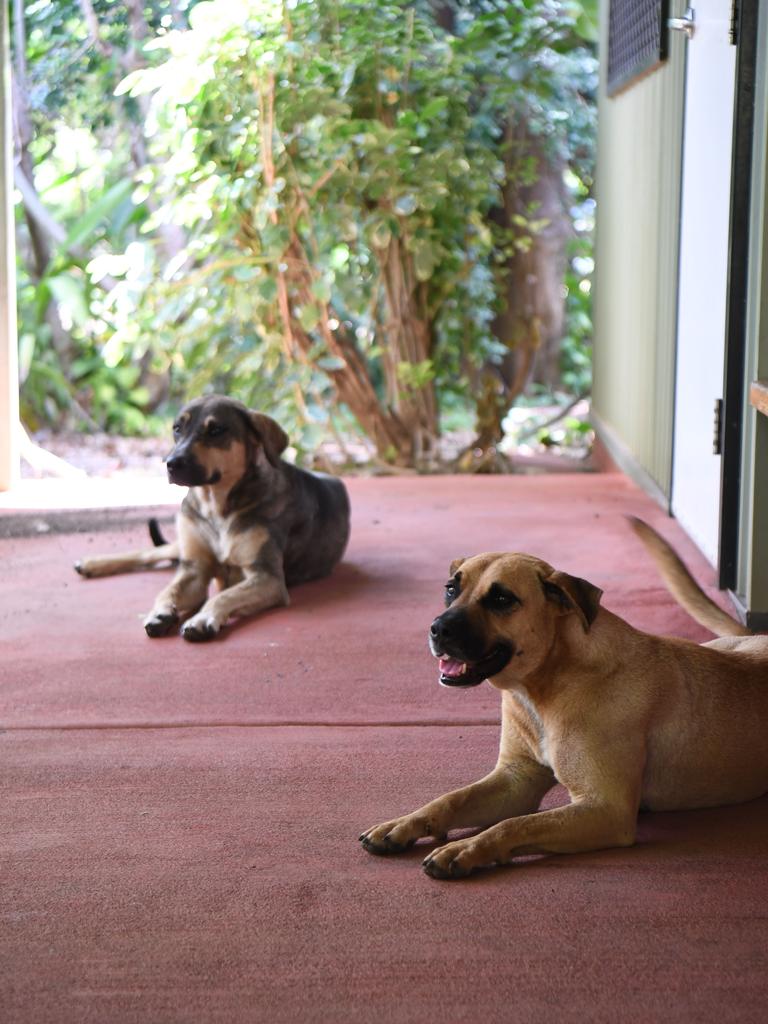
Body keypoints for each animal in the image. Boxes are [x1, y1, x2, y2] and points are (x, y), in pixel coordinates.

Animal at [73, 393, 350, 638]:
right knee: (150, 553)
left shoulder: (267, 578)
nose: (171, 463)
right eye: (177, 428)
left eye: (216, 430)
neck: (216, 506)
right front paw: (159, 612)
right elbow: (167, 591)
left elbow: (224, 595)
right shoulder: (194, 568)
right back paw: (91, 564)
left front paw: (202, 618)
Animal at [360, 520, 768, 880]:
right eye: (450, 589)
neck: (545, 685)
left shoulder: (604, 809)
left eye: (501, 598)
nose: (438, 628)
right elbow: (451, 799)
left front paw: (465, 848)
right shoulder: (516, 780)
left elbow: (514, 825)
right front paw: (402, 824)